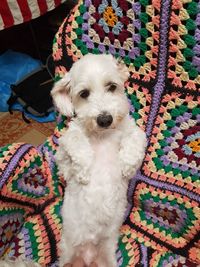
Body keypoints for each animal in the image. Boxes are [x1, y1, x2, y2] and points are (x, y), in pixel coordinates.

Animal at [52, 54, 147, 267]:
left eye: (112, 86)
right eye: (84, 93)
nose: (105, 119)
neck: (102, 135)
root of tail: (87, 256)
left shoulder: (131, 131)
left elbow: (136, 138)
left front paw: (126, 165)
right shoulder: (62, 157)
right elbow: (75, 141)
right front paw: (84, 169)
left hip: (108, 258)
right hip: (66, 255)